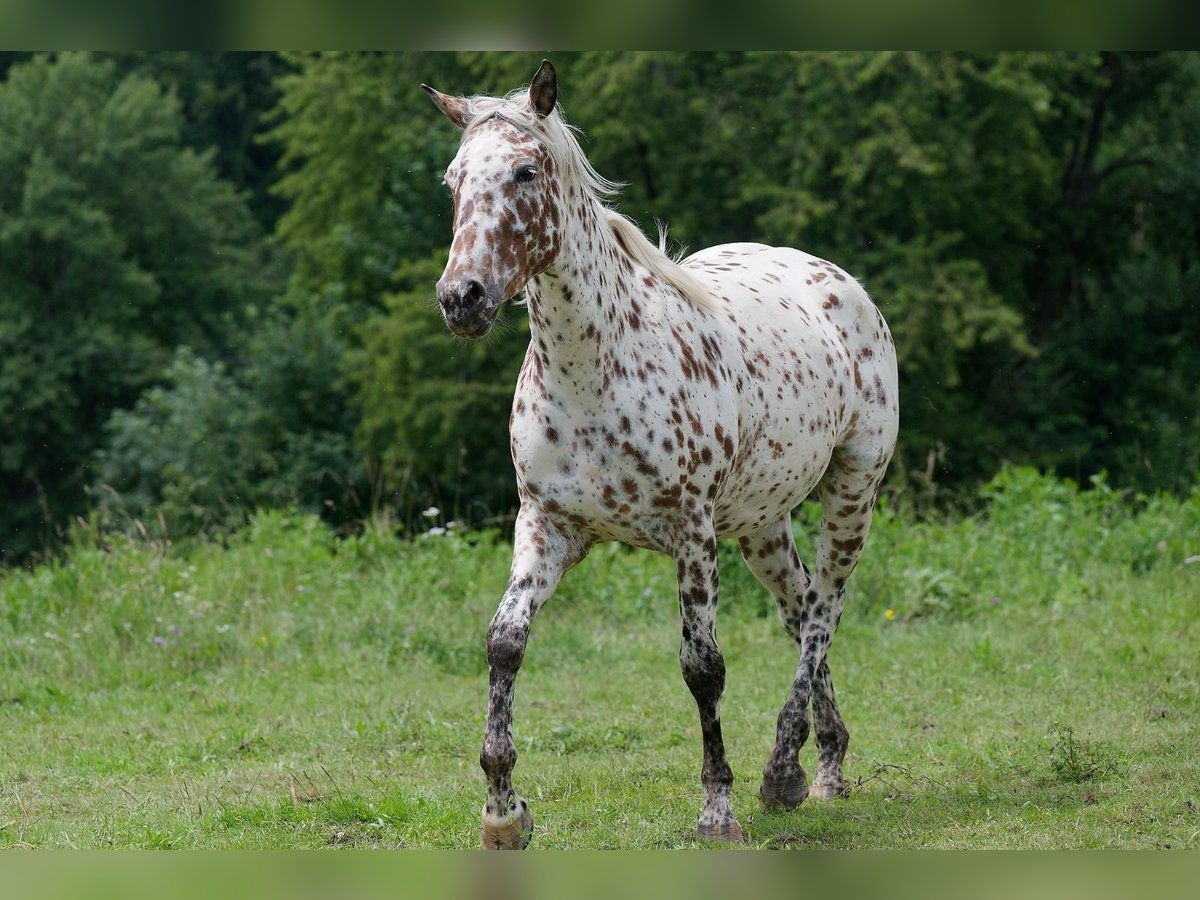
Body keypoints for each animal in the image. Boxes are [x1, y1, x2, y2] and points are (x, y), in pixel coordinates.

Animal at [424, 60, 902, 849]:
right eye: (454, 179)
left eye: (526, 171)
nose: (463, 298)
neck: (595, 371)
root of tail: (837, 281)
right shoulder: (548, 526)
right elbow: (504, 643)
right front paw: (502, 812)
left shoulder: (690, 533)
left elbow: (703, 668)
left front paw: (717, 810)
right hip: (762, 524)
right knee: (799, 608)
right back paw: (824, 765)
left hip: (852, 491)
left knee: (825, 609)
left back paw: (782, 772)